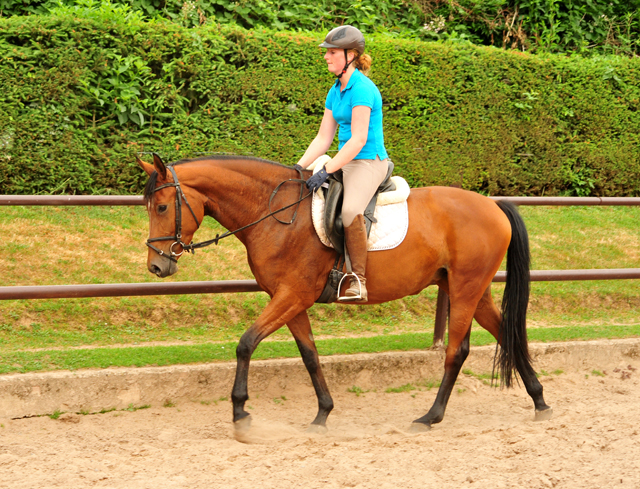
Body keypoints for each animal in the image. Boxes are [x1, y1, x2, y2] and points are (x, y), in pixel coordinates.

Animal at [138, 152, 552, 430]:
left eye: (162, 207)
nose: (157, 266)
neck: (277, 215)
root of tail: (493, 206)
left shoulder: (292, 296)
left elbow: (246, 343)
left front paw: (240, 411)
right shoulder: (290, 299)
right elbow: (309, 355)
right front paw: (323, 413)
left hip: (466, 288)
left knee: (457, 351)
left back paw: (431, 416)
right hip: (472, 289)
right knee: (507, 333)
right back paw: (539, 401)